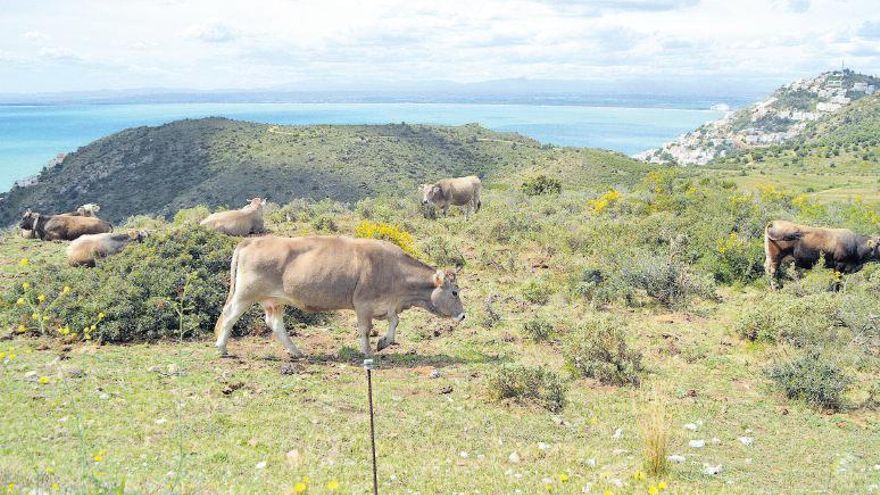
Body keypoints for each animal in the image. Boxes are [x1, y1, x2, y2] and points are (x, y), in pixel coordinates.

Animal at [214, 234, 468, 358]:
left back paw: (296, 352)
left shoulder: (387, 304)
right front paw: (367, 351)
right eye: (454, 292)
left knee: (275, 323)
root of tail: (252, 240)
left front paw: (383, 343)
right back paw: (222, 348)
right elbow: (365, 329)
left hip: (274, 301)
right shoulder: (363, 304)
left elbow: (395, 322)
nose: (464, 315)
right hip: (245, 293)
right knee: (229, 315)